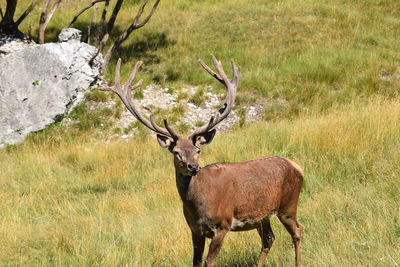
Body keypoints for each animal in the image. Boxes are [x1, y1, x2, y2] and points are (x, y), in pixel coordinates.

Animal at [100, 55, 304, 266]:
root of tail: (297, 166)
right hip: (262, 216)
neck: (198, 208)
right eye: (176, 152)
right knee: (269, 238)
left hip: (288, 205)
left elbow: (209, 262)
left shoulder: (222, 224)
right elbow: (196, 262)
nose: (193, 166)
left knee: (297, 230)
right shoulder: (194, 230)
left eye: (197, 150)